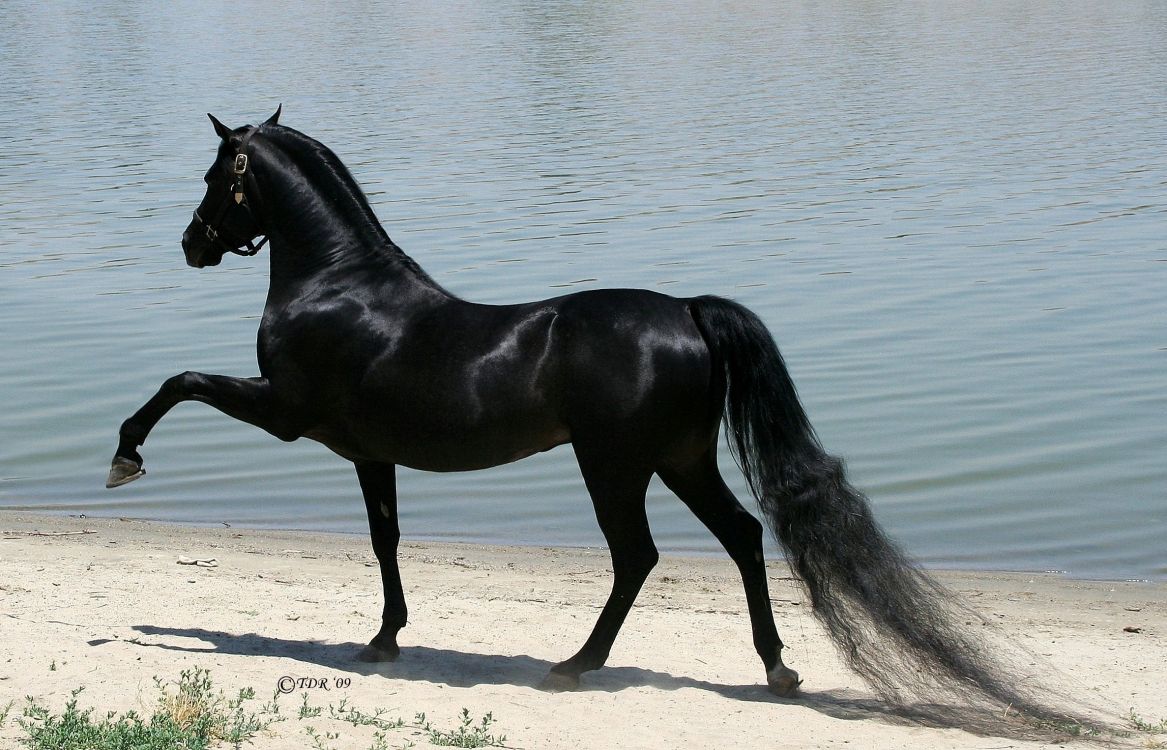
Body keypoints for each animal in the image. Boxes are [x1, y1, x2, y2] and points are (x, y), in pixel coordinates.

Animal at [109, 107, 1068, 713]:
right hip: (679, 460)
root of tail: (685, 310)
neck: (339, 285)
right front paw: (384, 638)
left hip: (614, 465)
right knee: (741, 536)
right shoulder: (367, 452)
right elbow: (386, 541)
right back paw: (775, 670)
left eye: (215, 174)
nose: (192, 243)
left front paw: (125, 457)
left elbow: (179, 381)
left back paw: (576, 665)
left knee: (637, 557)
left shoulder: (286, 412)